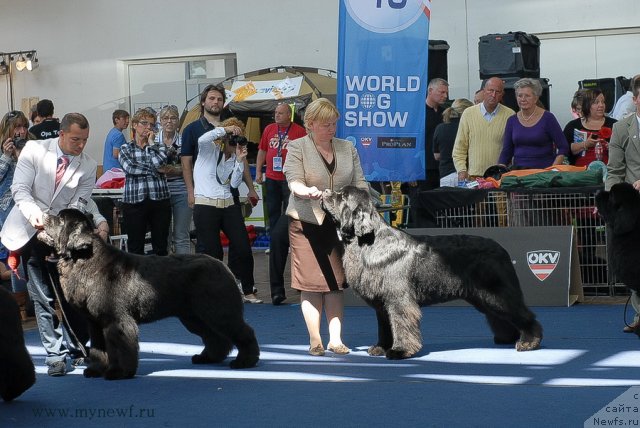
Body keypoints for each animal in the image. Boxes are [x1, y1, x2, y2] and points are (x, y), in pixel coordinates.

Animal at [38, 209, 260, 380]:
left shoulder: (116, 320)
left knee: (243, 332)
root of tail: (223, 265)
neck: (84, 260)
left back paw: (245, 361)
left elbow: (119, 348)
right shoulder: (95, 323)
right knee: (215, 337)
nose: (43, 215)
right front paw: (95, 370)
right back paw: (207, 358)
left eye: (60, 219)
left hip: (217, 311)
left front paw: (119, 372)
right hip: (193, 316)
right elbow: (98, 349)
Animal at [322, 186, 544, 358]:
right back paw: (507, 338)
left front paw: (400, 351)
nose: (324, 192)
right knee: (500, 316)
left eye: (342, 196)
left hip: (497, 293)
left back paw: (529, 342)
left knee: (522, 313)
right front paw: (380, 347)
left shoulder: (398, 299)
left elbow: (400, 323)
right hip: (483, 297)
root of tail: (501, 249)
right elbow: (385, 326)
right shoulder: (382, 303)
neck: (368, 242)